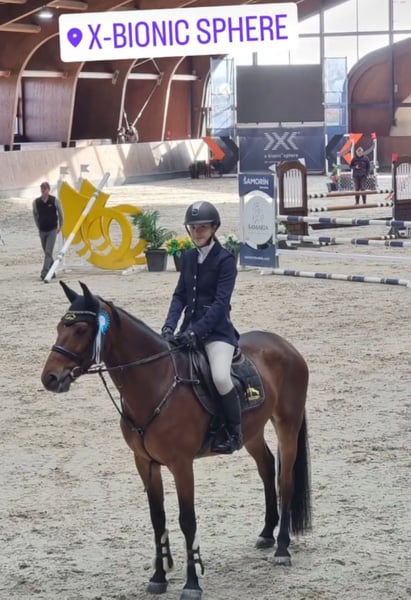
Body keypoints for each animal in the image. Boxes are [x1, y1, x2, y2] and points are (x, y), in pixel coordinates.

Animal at [41, 281, 311, 600]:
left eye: (82, 330)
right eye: (60, 326)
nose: (50, 378)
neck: (156, 382)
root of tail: (285, 345)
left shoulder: (182, 465)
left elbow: (187, 520)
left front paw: (192, 584)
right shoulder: (145, 463)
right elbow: (157, 518)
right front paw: (158, 577)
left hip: (287, 425)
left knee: (285, 480)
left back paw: (282, 548)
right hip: (252, 431)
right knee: (267, 468)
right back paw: (267, 534)